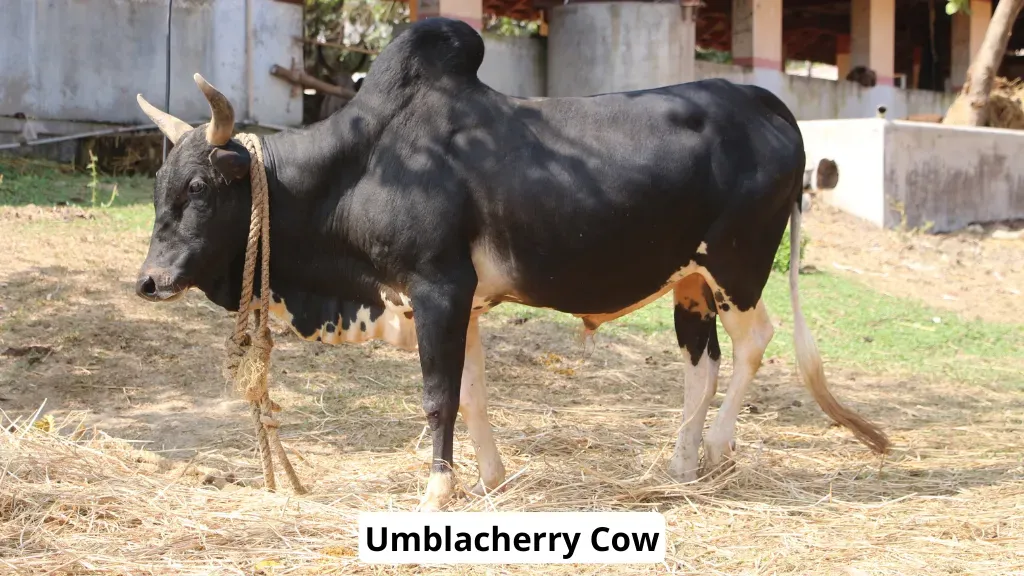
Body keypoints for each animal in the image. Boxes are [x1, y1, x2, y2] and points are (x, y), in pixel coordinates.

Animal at [134, 17, 889, 511]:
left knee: (756, 341)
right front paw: (488, 477)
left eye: (199, 188)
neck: (363, 165)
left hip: (737, 267)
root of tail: (768, 103)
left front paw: (438, 488)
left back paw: (718, 449)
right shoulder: (457, 300)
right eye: (159, 184)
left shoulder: (438, 286)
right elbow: (471, 392)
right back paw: (679, 464)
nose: (150, 280)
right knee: (700, 365)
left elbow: (440, 393)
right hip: (691, 284)